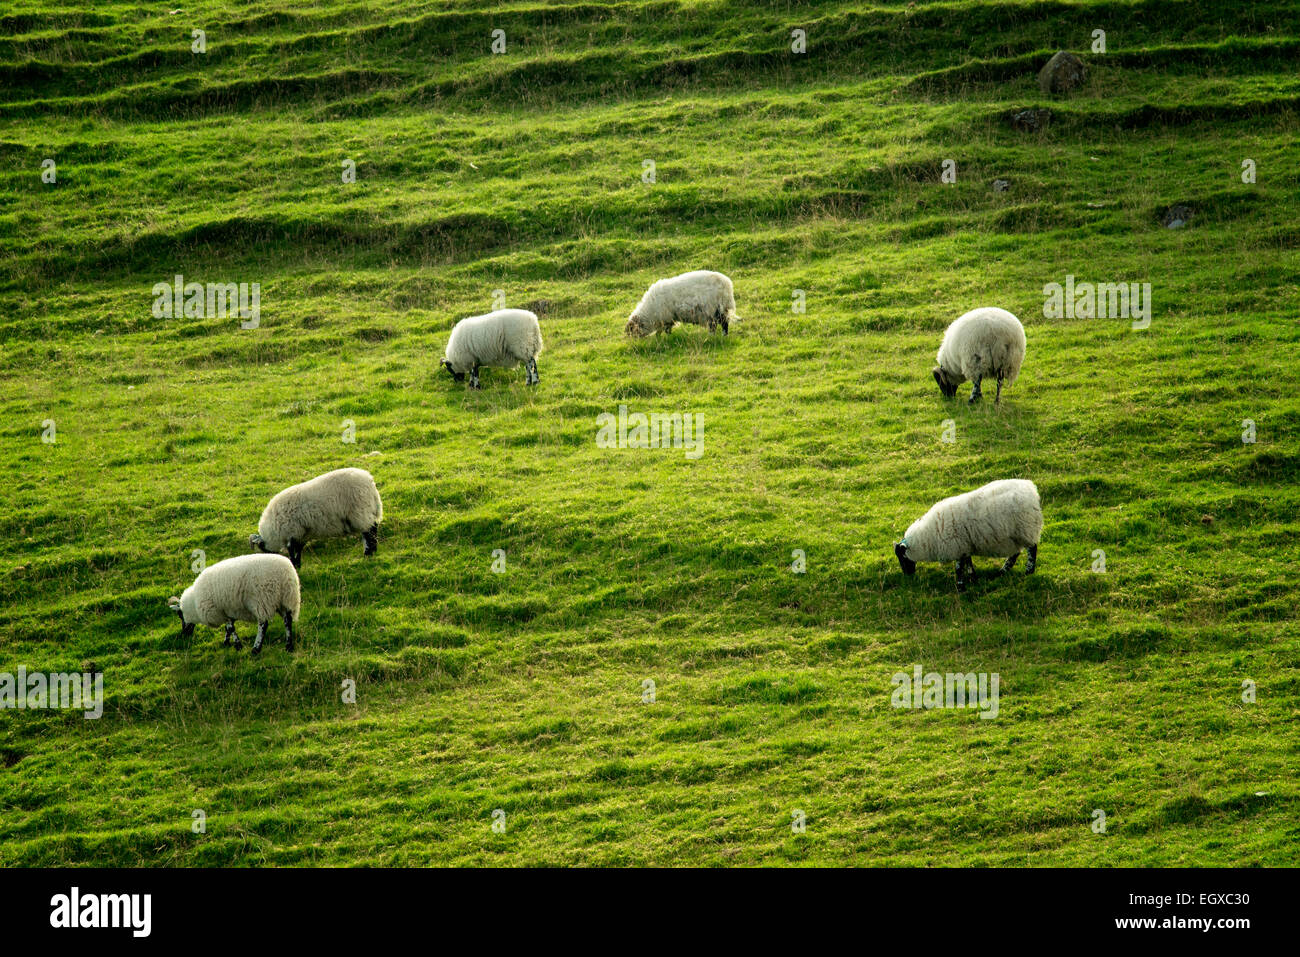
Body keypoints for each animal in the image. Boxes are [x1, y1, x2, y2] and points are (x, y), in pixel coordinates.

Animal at [166, 548, 297, 655]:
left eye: (180, 615)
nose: (184, 634)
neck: (194, 603)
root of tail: (285, 573)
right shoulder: (227, 610)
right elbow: (228, 627)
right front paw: (227, 642)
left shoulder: (219, 610)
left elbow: (230, 628)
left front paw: (238, 645)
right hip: (284, 599)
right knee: (287, 620)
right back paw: (289, 646)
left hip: (262, 600)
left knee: (263, 624)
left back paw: (256, 649)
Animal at [248, 468, 379, 572]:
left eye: (263, 549)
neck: (273, 531)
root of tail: (370, 481)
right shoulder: (301, 534)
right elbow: (298, 550)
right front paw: (297, 565)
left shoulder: (291, 532)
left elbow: (292, 551)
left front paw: (295, 565)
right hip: (368, 511)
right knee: (373, 529)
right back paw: (373, 551)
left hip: (360, 512)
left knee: (369, 532)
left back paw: (368, 553)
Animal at [894, 478, 1045, 590]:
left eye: (903, 557)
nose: (907, 575)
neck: (929, 536)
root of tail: (1031, 488)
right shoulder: (965, 546)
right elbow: (968, 563)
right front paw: (973, 579)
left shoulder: (957, 546)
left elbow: (958, 567)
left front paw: (961, 587)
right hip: (1015, 536)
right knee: (1015, 553)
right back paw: (1003, 571)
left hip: (1026, 528)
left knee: (1032, 549)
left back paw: (1028, 571)